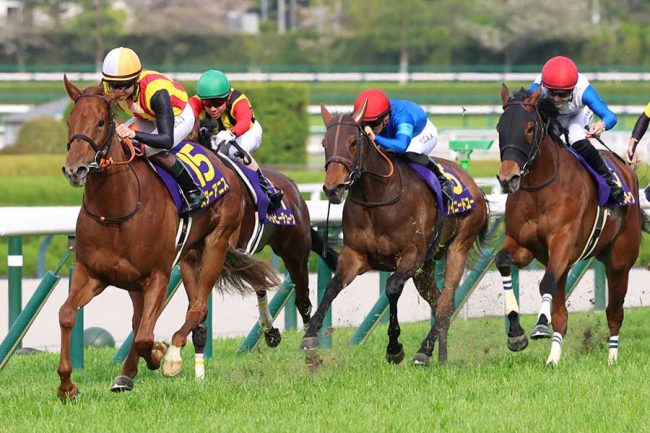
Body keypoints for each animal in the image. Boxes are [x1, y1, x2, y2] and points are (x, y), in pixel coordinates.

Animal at [59, 76, 279, 400]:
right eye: (70, 121)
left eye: (100, 122)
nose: (75, 170)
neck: (116, 210)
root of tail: (222, 160)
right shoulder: (93, 274)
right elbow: (67, 315)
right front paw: (67, 386)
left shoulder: (157, 276)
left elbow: (144, 337)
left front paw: (161, 355)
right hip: (180, 259)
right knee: (147, 318)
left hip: (215, 243)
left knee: (197, 307)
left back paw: (173, 353)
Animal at [299, 102, 489, 365]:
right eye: (324, 143)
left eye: (353, 143)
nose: (332, 188)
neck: (376, 198)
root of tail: (476, 187)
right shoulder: (355, 255)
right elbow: (332, 286)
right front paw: (310, 335)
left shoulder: (411, 255)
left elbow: (391, 287)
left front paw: (394, 347)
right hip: (426, 267)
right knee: (438, 301)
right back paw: (440, 356)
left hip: (457, 247)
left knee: (445, 304)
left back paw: (424, 350)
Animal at [495, 84, 646, 365]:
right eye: (500, 128)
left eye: (529, 129)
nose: (508, 177)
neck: (540, 190)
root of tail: (626, 168)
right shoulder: (522, 245)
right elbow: (503, 263)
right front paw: (516, 334)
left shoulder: (562, 242)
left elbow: (545, 284)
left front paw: (540, 325)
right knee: (562, 314)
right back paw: (553, 358)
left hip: (620, 261)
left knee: (615, 312)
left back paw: (612, 358)